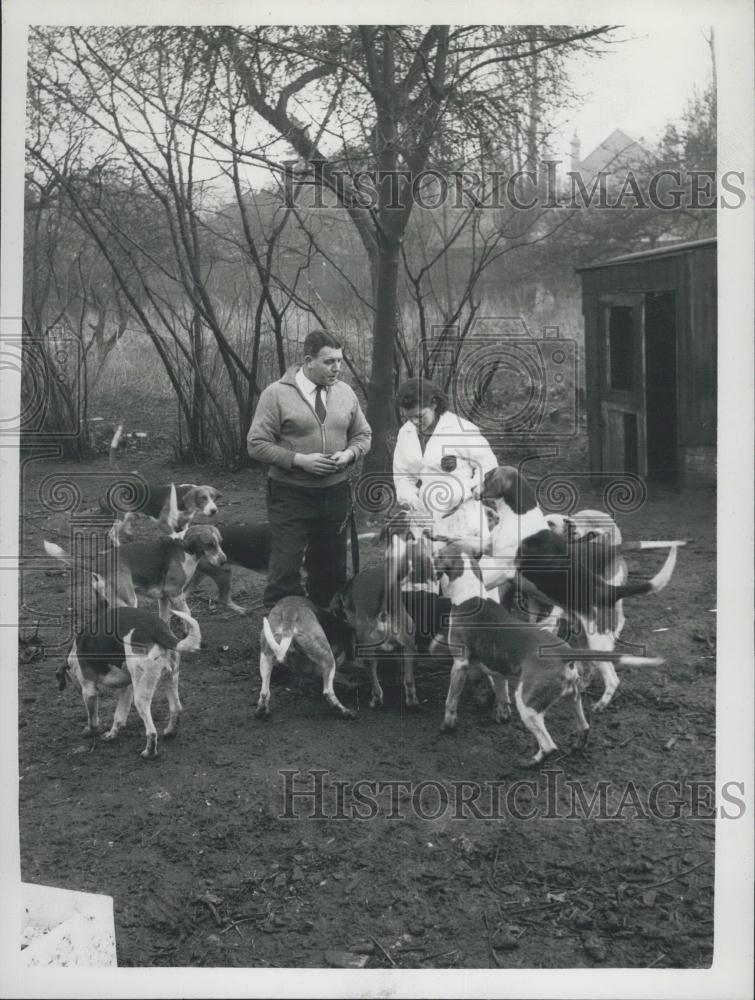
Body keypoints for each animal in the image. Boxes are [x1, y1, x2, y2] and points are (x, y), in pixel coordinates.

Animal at [43, 524, 227, 624]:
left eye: (220, 543)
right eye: (210, 545)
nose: (224, 561)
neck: (184, 547)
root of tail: (100, 563)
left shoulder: (164, 597)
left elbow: (164, 619)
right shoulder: (175, 593)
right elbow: (188, 615)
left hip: (103, 604)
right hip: (129, 602)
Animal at [58, 600, 201, 756]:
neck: (73, 653)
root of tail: (157, 629)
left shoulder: (89, 691)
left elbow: (92, 718)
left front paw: (90, 731)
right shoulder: (127, 688)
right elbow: (119, 715)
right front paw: (112, 734)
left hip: (141, 697)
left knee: (151, 731)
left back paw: (149, 752)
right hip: (171, 678)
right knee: (176, 708)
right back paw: (170, 732)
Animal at [255, 596, 358, 724]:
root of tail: (290, 613)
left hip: (266, 656)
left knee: (264, 692)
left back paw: (262, 711)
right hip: (327, 658)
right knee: (328, 692)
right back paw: (346, 712)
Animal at [434, 548, 664, 764]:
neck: (471, 594)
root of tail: (564, 653)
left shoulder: (460, 665)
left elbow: (450, 701)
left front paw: (447, 725)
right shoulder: (496, 670)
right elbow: (501, 694)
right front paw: (501, 715)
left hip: (527, 705)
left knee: (548, 744)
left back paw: (531, 761)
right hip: (572, 696)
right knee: (584, 726)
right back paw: (577, 745)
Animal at [478, 468, 684, 712]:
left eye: (487, 477)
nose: (473, 490)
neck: (519, 517)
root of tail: (608, 591)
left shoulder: (503, 569)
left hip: (598, 640)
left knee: (613, 678)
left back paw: (600, 704)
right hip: (586, 637)